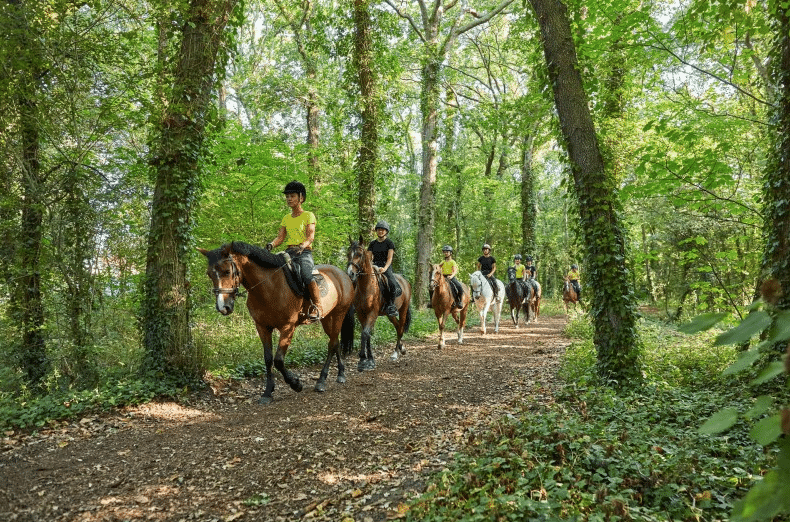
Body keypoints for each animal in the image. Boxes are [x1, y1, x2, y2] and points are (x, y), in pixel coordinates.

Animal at [198, 240, 356, 402]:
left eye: (227, 272)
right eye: (209, 274)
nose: (223, 307)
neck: (269, 286)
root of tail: (343, 274)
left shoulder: (288, 327)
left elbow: (278, 360)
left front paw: (295, 384)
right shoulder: (262, 327)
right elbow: (268, 359)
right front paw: (267, 392)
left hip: (339, 314)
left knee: (332, 343)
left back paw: (322, 381)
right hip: (327, 318)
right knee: (335, 342)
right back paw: (340, 373)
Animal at [350, 238, 418, 368]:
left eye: (359, 254)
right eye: (348, 254)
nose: (350, 273)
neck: (367, 286)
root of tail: (405, 281)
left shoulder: (372, 313)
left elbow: (365, 333)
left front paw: (364, 360)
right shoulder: (361, 314)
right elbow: (367, 334)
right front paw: (369, 359)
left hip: (403, 309)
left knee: (400, 328)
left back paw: (395, 353)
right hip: (390, 314)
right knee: (397, 326)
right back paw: (402, 349)